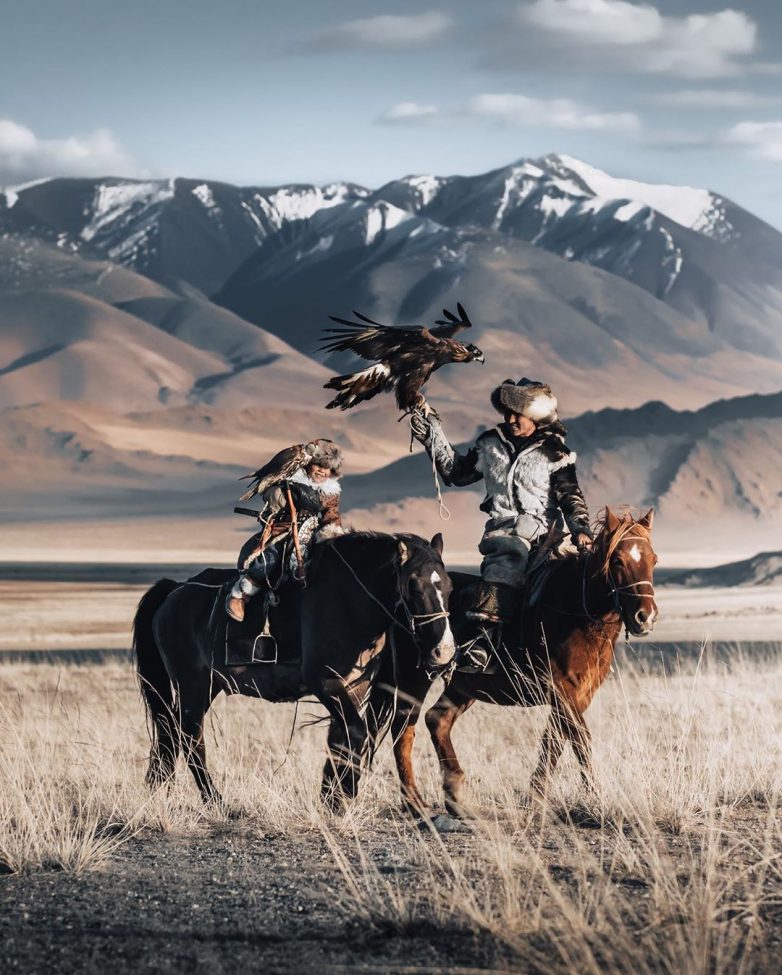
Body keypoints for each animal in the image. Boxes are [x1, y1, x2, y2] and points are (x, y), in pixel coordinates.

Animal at [132, 528, 456, 812]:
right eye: (414, 585)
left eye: (450, 586)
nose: (443, 651)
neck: (349, 602)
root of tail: (174, 591)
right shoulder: (325, 683)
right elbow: (355, 733)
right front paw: (344, 794)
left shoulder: (356, 686)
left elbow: (340, 739)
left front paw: (332, 798)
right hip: (192, 685)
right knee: (190, 737)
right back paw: (215, 801)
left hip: (209, 685)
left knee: (172, 733)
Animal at [364, 508, 660, 820]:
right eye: (618, 561)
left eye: (653, 560)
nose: (645, 617)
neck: (576, 614)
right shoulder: (562, 690)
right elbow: (578, 738)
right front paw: (591, 797)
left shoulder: (579, 694)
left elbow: (555, 741)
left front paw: (539, 796)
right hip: (415, 677)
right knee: (403, 729)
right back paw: (414, 802)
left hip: (464, 686)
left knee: (437, 719)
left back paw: (455, 797)